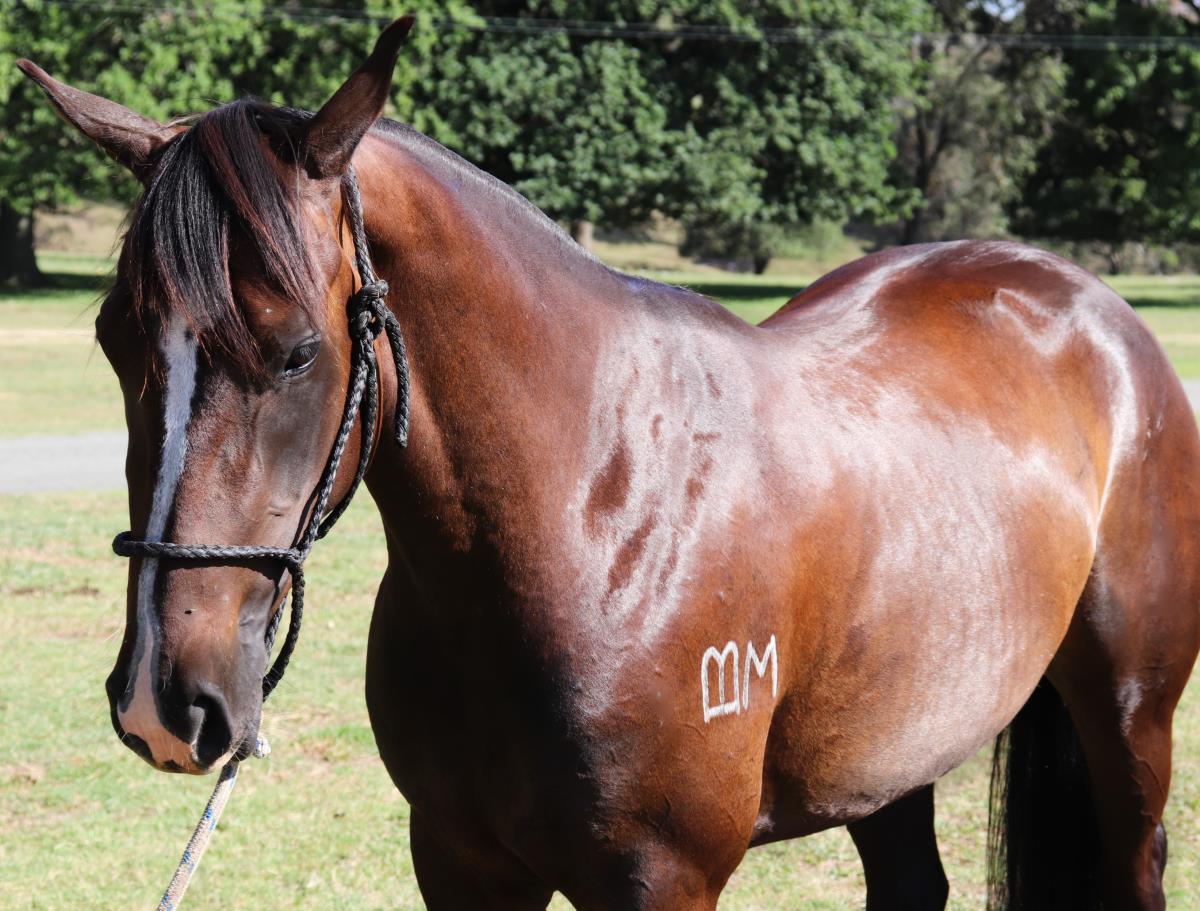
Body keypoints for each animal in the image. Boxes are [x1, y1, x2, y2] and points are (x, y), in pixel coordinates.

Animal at [20, 18, 1200, 910]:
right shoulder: (459, 864)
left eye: (298, 351)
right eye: (116, 340)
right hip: (893, 752)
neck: (594, 520)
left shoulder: (659, 881)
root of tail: (1090, 308)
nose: (164, 699)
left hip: (1129, 713)